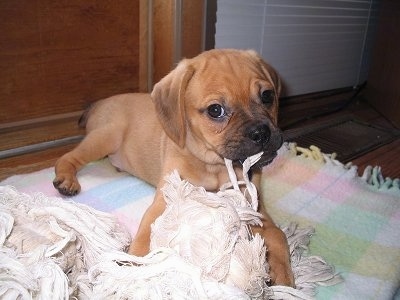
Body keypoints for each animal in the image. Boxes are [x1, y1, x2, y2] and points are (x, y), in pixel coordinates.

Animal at [52, 48, 294, 286]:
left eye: (267, 96)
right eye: (215, 110)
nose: (261, 133)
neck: (214, 167)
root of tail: (99, 103)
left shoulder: (256, 209)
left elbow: (278, 235)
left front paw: (283, 275)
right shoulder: (164, 200)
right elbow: (146, 234)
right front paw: (133, 268)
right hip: (107, 136)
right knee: (68, 156)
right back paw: (66, 179)